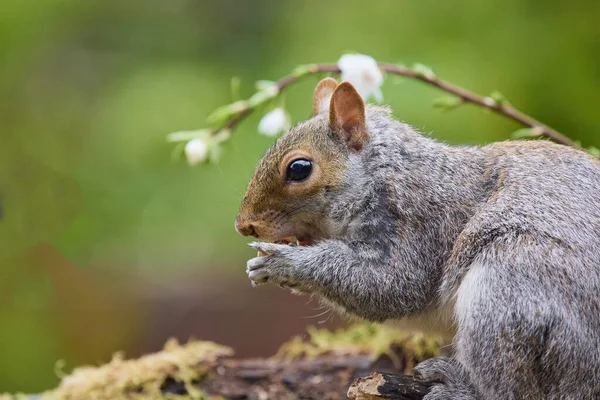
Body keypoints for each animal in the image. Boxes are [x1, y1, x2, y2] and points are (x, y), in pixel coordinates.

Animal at [234, 78, 600, 400]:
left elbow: (392, 286)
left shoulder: (419, 224)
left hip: (510, 289)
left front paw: (284, 263)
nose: (244, 225)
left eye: (299, 169)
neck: (383, 175)